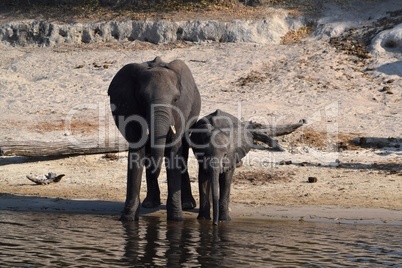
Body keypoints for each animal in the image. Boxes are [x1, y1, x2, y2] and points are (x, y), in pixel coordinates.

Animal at [108, 55, 201, 221]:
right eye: (142, 100)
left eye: (176, 100)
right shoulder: (130, 109)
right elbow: (136, 153)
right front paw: (128, 219)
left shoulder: (181, 111)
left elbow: (174, 151)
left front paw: (176, 219)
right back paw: (150, 204)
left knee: (183, 150)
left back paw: (187, 205)